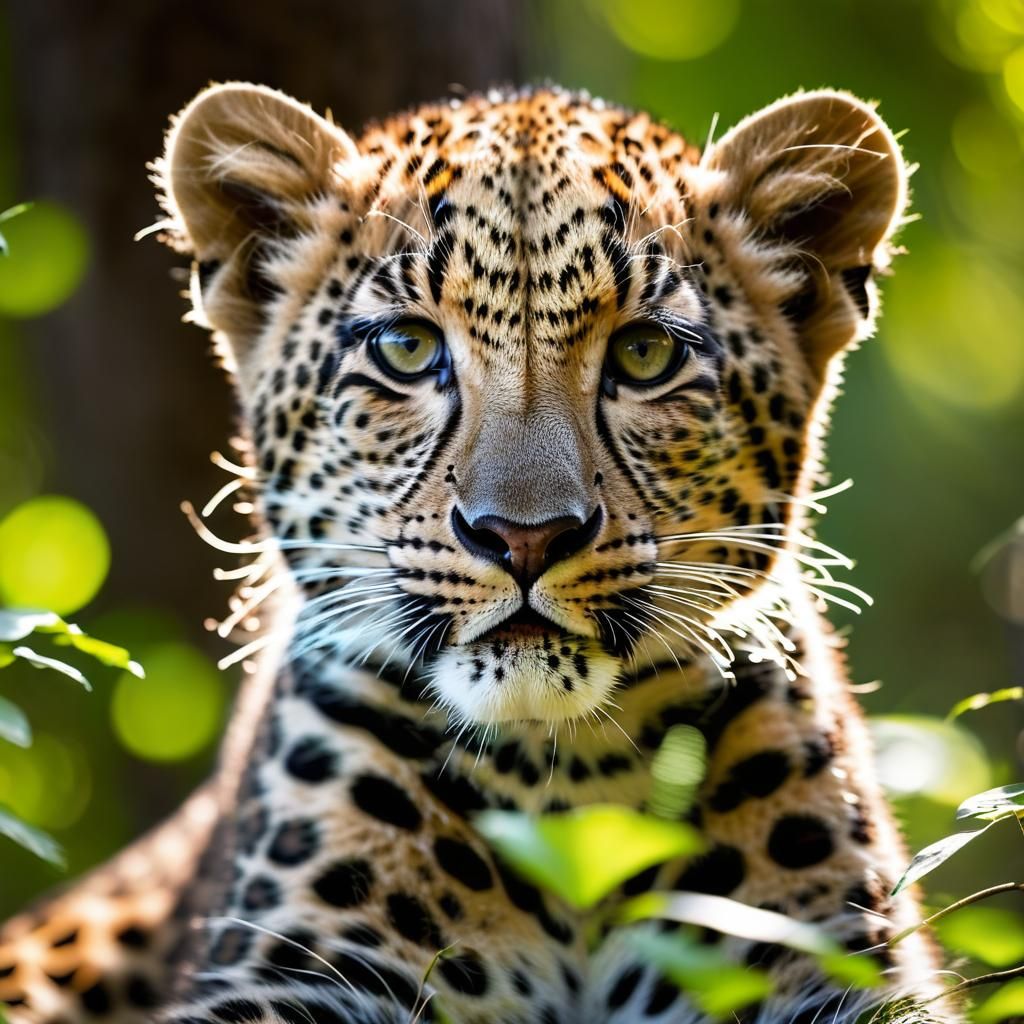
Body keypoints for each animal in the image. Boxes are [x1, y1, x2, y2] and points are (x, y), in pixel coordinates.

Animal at [0, 82, 962, 1024]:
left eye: (646, 353)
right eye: (407, 347)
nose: (524, 536)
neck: (565, 783)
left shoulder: (832, 975)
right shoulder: (295, 975)